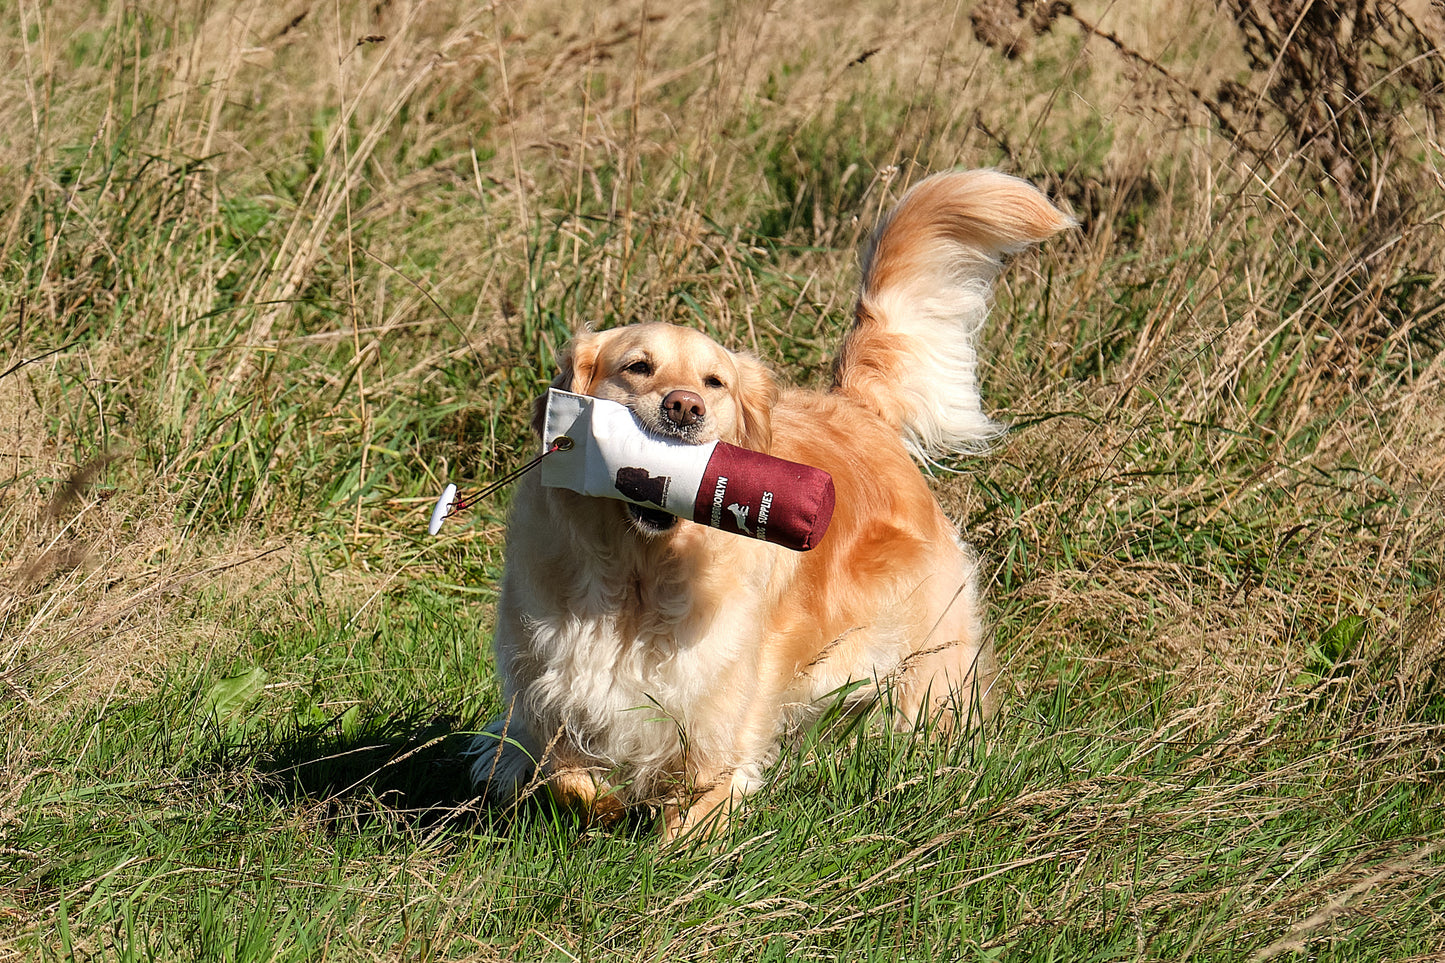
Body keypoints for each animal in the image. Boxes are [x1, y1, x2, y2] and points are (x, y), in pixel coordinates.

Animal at [473, 168, 1075, 838]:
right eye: (637, 367)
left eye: (714, 383)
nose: (684, 407)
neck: (638, 574)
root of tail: (857, 407)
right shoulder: (549, 683)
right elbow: (562, 773)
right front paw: (597, 797)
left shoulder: (718, 712)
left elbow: (694, 805)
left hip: (927, 669)